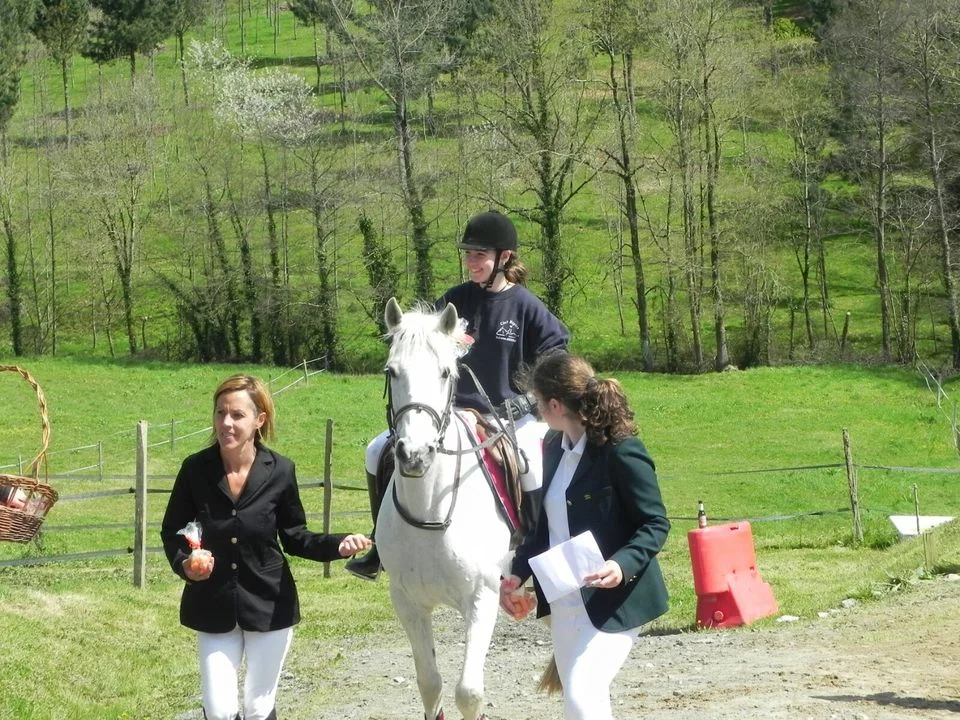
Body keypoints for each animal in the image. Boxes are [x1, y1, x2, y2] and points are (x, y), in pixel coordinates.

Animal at [376, 297, 514, 720]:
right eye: (392, 371)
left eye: (445, 372)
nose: (415, 454)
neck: (430, 510)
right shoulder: (409, 604)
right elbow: (429, 683)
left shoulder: (482, 599)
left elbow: (468, 692)